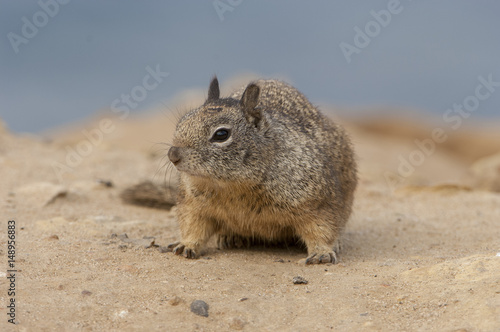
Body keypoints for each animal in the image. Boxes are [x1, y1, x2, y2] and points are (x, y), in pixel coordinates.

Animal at [154, 77, 358, 264]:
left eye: (221, 134)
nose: (173, 154)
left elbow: (322, 229)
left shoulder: (317, 202)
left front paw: (322, 253)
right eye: (182, 122)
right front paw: (186, 245)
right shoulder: (192, 204)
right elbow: (192, 226)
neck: (234, 186)